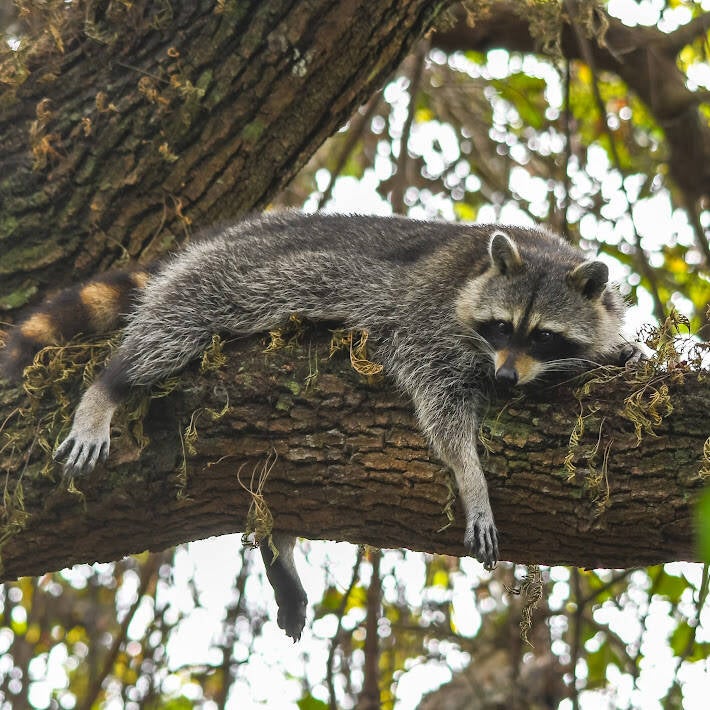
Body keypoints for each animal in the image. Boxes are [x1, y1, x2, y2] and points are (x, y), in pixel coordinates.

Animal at [0, 212, 636, 641]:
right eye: (502, 327)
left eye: (543, 336)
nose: (505, 379)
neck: (533, 251)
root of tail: (224, 234)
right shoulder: (425, 318)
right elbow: (439, 401)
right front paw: (470, 475)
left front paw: (615, 352)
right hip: (228, 277)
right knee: (170, 328)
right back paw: (108, 388)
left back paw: (277, 545)